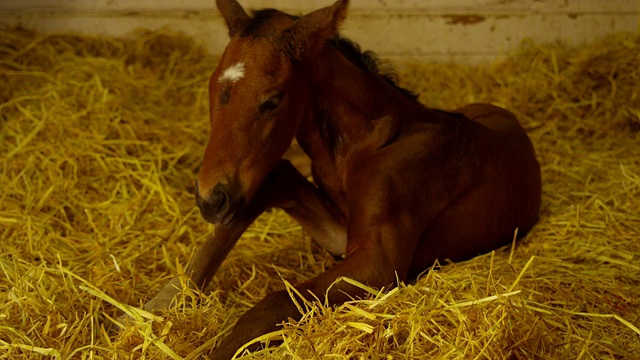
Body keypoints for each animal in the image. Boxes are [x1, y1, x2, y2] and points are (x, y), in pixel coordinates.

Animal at [139, 0, 540, 358]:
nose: (211, 199)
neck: (367, 144)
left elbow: (275, 301)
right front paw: (166, 298)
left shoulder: (376, 262)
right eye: (211, 87)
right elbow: (275, 179)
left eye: (272, 101)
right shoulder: (339, 235)